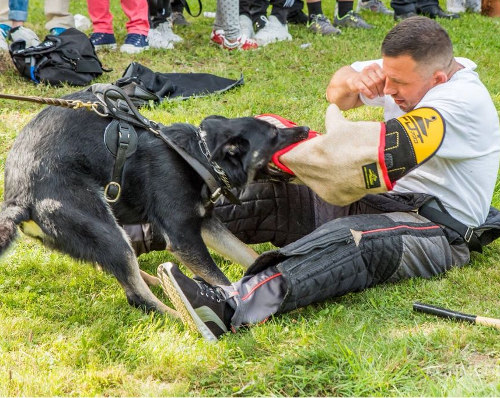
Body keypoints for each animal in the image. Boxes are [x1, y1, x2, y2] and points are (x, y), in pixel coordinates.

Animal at [0, 91, 308, 318]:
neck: (200, 155)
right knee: (137, 297)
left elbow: (247, 253)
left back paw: (162, 283)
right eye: (274, 135)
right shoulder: (184, 239)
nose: (305, 129)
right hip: (106, 231)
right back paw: (181, 316)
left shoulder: (205, 225)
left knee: (120, 271)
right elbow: (221, 279)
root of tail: (17, 200)